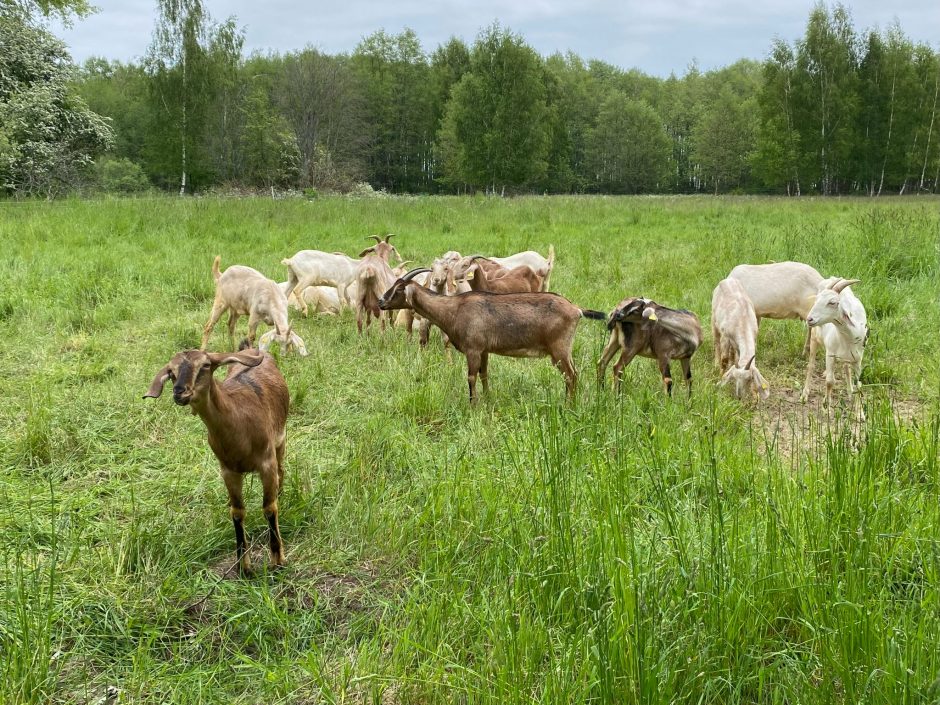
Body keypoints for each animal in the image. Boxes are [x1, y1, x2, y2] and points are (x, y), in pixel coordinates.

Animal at [143, 346, 288, 572]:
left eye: (205, 365)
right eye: (171, 371)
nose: (179, 391)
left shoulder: (267, 464)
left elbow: (269, 508)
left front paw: (277, 560)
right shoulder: (228, 470)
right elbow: (237, 512)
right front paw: (243, 566)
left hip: (280, 442)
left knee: (281, 472)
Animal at [378, 266, 604, 402]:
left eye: (399, 289)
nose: (381, 302)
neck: (454, 309)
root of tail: (576, 309)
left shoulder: (473, 349)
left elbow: (471, 377)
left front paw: (473, 404)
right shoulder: (484, 350)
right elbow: (484, 374)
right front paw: (487, 399)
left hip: (559, 349)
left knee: (571, 375)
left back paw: (569, 405)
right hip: (563, 350)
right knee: (572, 374)